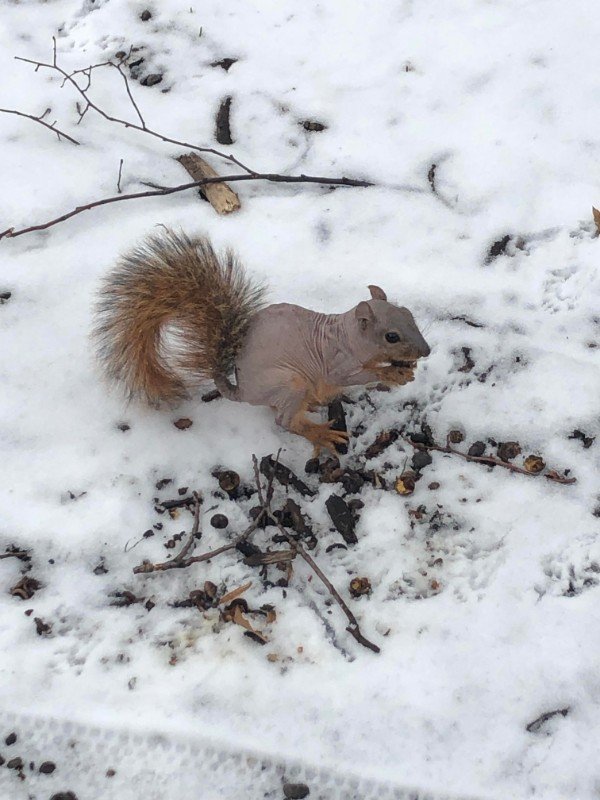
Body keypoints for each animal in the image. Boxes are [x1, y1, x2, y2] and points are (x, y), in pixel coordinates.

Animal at [94, 230, 428, 450]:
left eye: (408, 313)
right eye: (391, 336)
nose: (425, 351)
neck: (346, 334)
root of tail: (243, 391)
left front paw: (406, 369)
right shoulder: (336, 361)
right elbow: (351, 376)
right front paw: (391, 373)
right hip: (290, 383)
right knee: (283, 420)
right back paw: (319, 434)